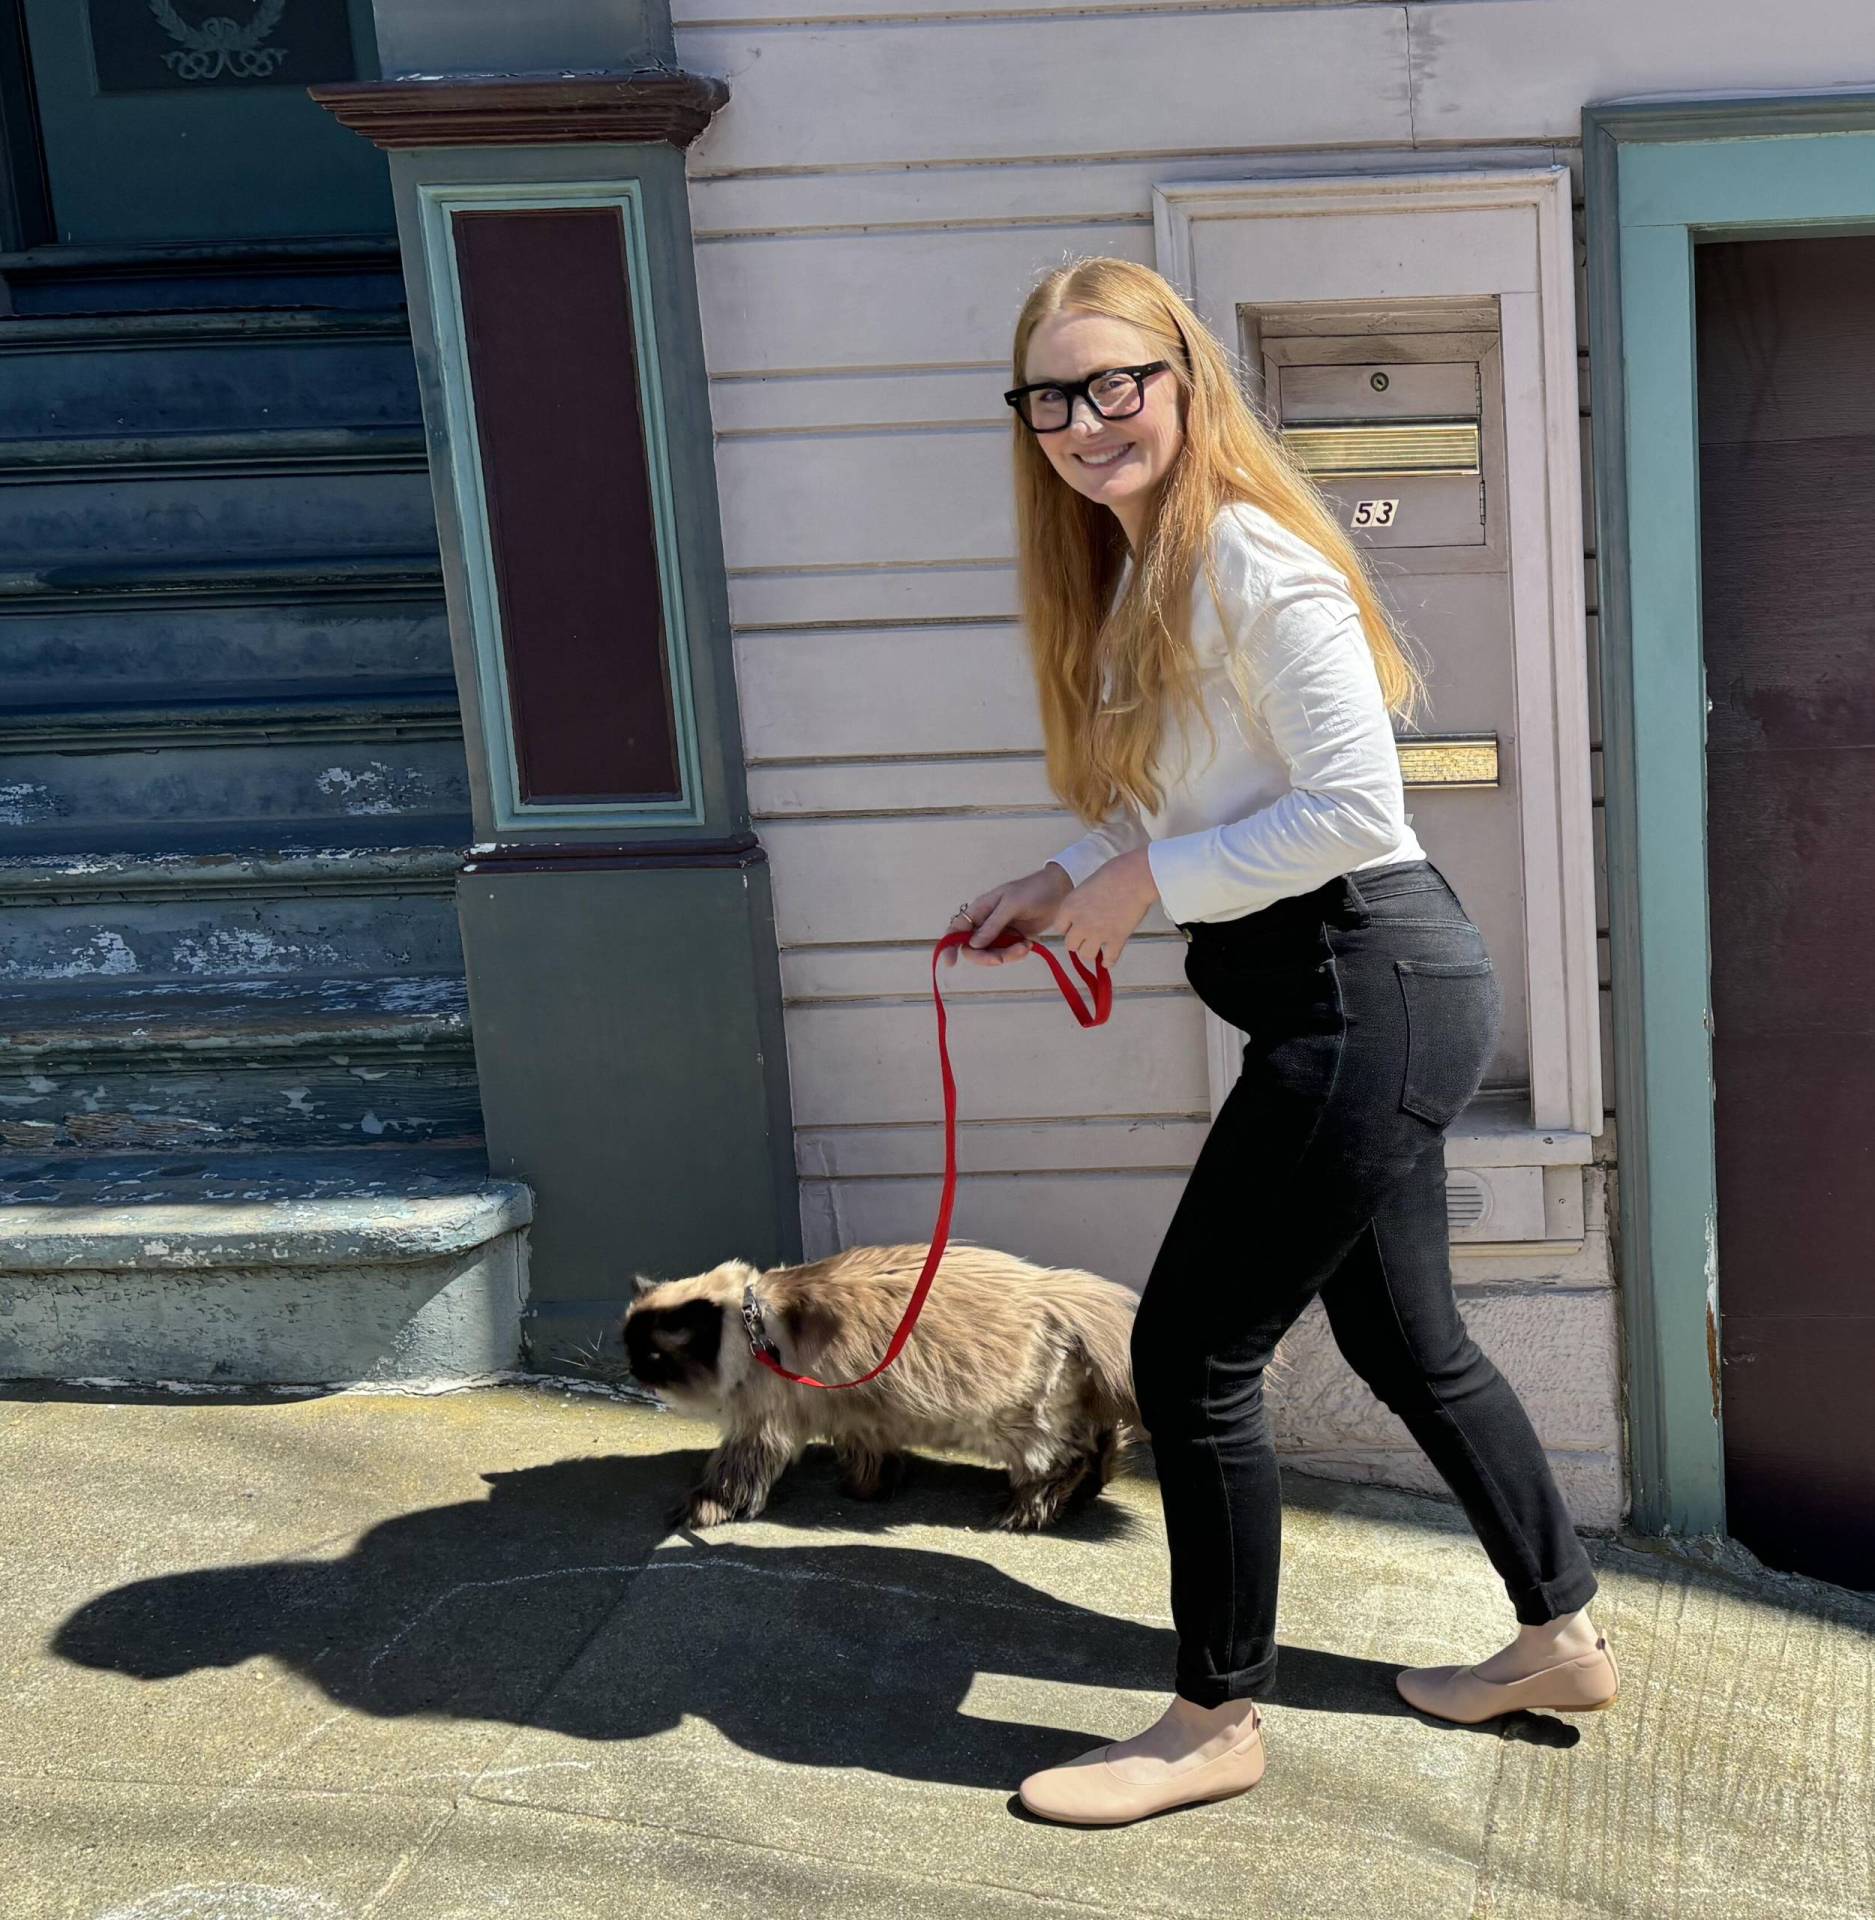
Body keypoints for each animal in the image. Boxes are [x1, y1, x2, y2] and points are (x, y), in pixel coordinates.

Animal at [621, 1244, 1136, 1528]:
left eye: (653, 1356)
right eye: (631, 1347)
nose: (632, 1370)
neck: (753, 1325)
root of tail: (1062, 1293)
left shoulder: (761, 1427)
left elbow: (729, 1479)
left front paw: (701, 1510)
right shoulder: (859, 1414)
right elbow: (870, 1461)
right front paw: (866, 1489)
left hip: (1008, 1422)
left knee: (1064, 1459)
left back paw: (1024, 1514)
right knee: (1105, 1441)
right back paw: (1079, 1497)